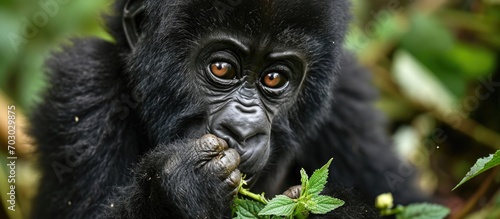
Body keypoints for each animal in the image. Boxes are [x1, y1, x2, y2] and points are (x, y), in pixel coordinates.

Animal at [30, 0, 426, 217]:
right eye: (221, 69)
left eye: (273, 78)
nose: (243, 131)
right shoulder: (84, 90)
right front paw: (181, 187)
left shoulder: (346, 95)